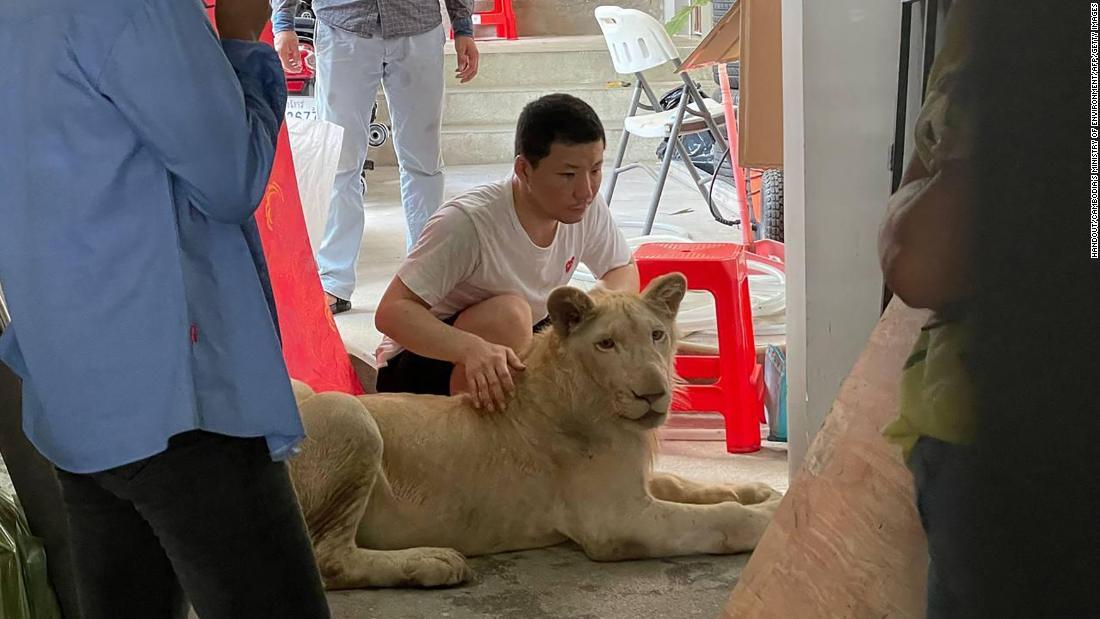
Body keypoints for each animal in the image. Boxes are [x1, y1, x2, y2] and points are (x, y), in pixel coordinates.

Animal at [286, 275, 783, 589]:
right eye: (606, 344)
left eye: (657, 335)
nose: (653, 393)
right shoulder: (617, 521)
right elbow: (722, 519)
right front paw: (768, 517)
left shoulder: (636, 485)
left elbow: (686, 483)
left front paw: (759, 492)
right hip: (348, 415)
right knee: (329, 560)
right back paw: (433, 563)